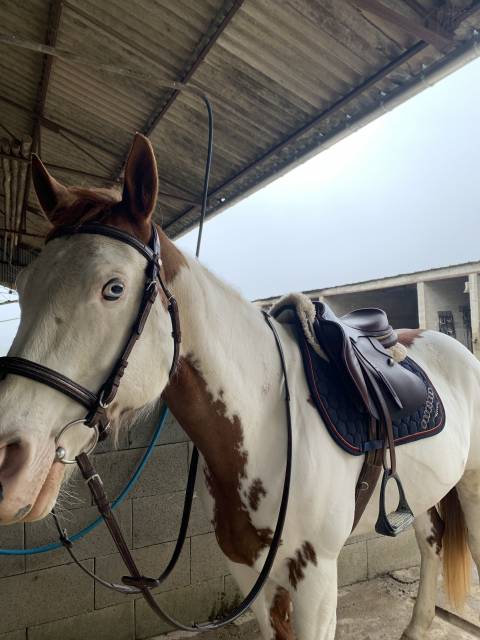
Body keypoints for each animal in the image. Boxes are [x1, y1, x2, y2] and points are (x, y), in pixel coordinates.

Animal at [0, 133, 478, 640]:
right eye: (24, 287)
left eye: (113, 288)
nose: (8, 463)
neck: (266, 424)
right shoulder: (252, 573)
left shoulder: (315, 579)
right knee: (431, 543)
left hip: (470, 485)